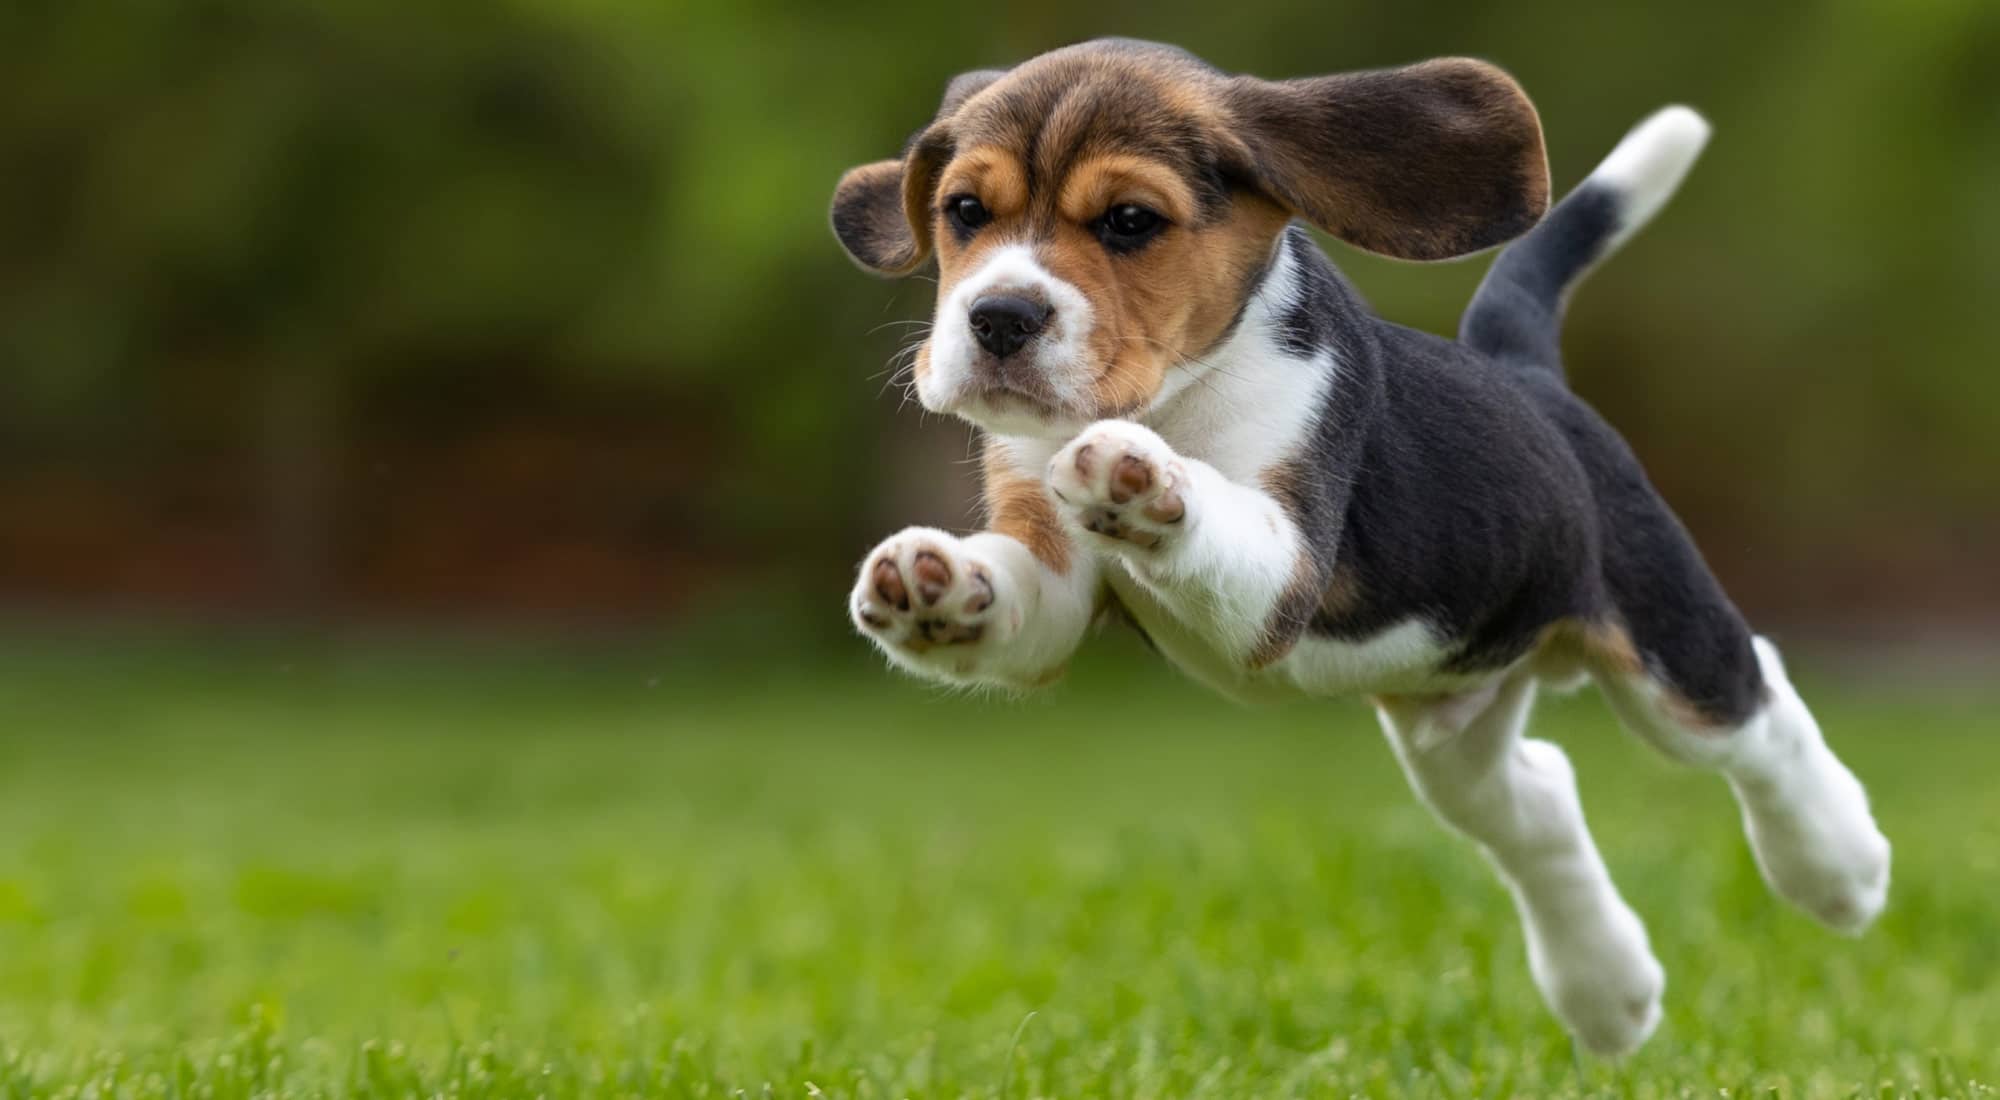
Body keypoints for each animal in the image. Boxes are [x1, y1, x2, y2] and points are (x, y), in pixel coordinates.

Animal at [828, 41, 1888, 1064]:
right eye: (965, 211)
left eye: (1130, 222)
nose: (999, 317)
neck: (1173, 391)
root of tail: (1528, 377)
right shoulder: (1045, 569)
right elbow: (1019, 597)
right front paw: (930, 584)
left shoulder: (1283, 563)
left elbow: (1218, 519)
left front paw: (1146, 485)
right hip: (1454, 729)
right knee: (1538, 805)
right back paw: (1609, 995)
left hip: (1667, 652)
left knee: (1757, 709)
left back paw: (1840, 868)